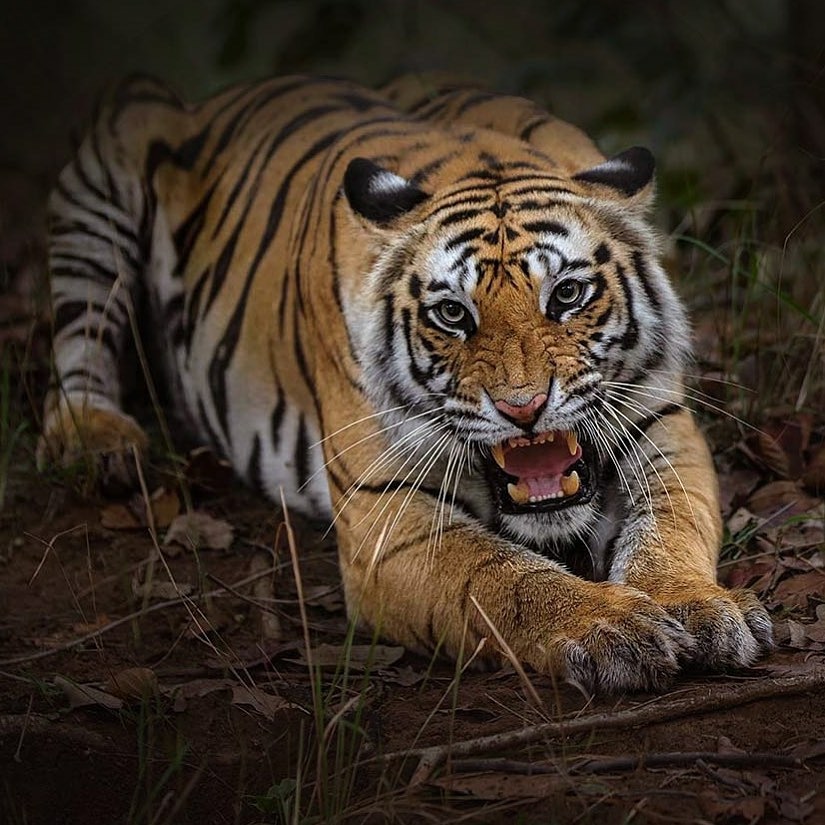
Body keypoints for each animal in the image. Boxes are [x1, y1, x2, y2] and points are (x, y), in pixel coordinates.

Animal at [38, 72, 773, 693]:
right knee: (78, 341)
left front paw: (697, 605)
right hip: (112, 155)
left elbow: (672, 524)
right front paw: (612, 625)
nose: (524, 409)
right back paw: (103, 440)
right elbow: (502, 577)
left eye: (566, 294)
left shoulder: (663, 424)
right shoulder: (387, 513)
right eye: (452, 313)